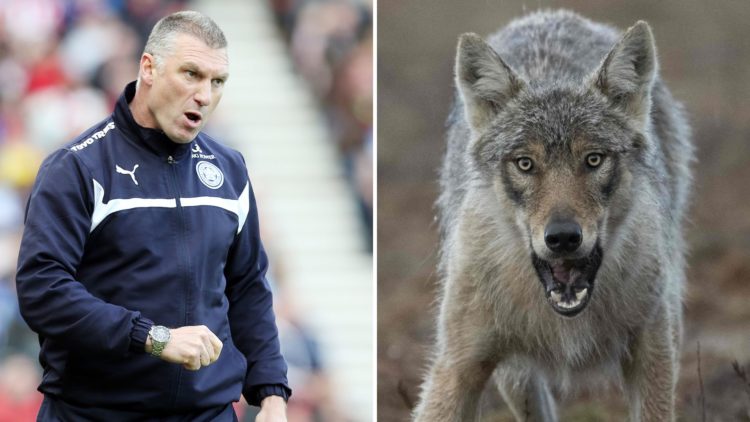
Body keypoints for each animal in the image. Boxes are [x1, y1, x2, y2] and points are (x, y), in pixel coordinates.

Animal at [413, 10, 693, 422]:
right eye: (525, 164)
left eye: (593, 159)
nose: (562, 237)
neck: (564, 322)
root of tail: (550, 15)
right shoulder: (458, 366)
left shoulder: (654, 352)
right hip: (515, 378)